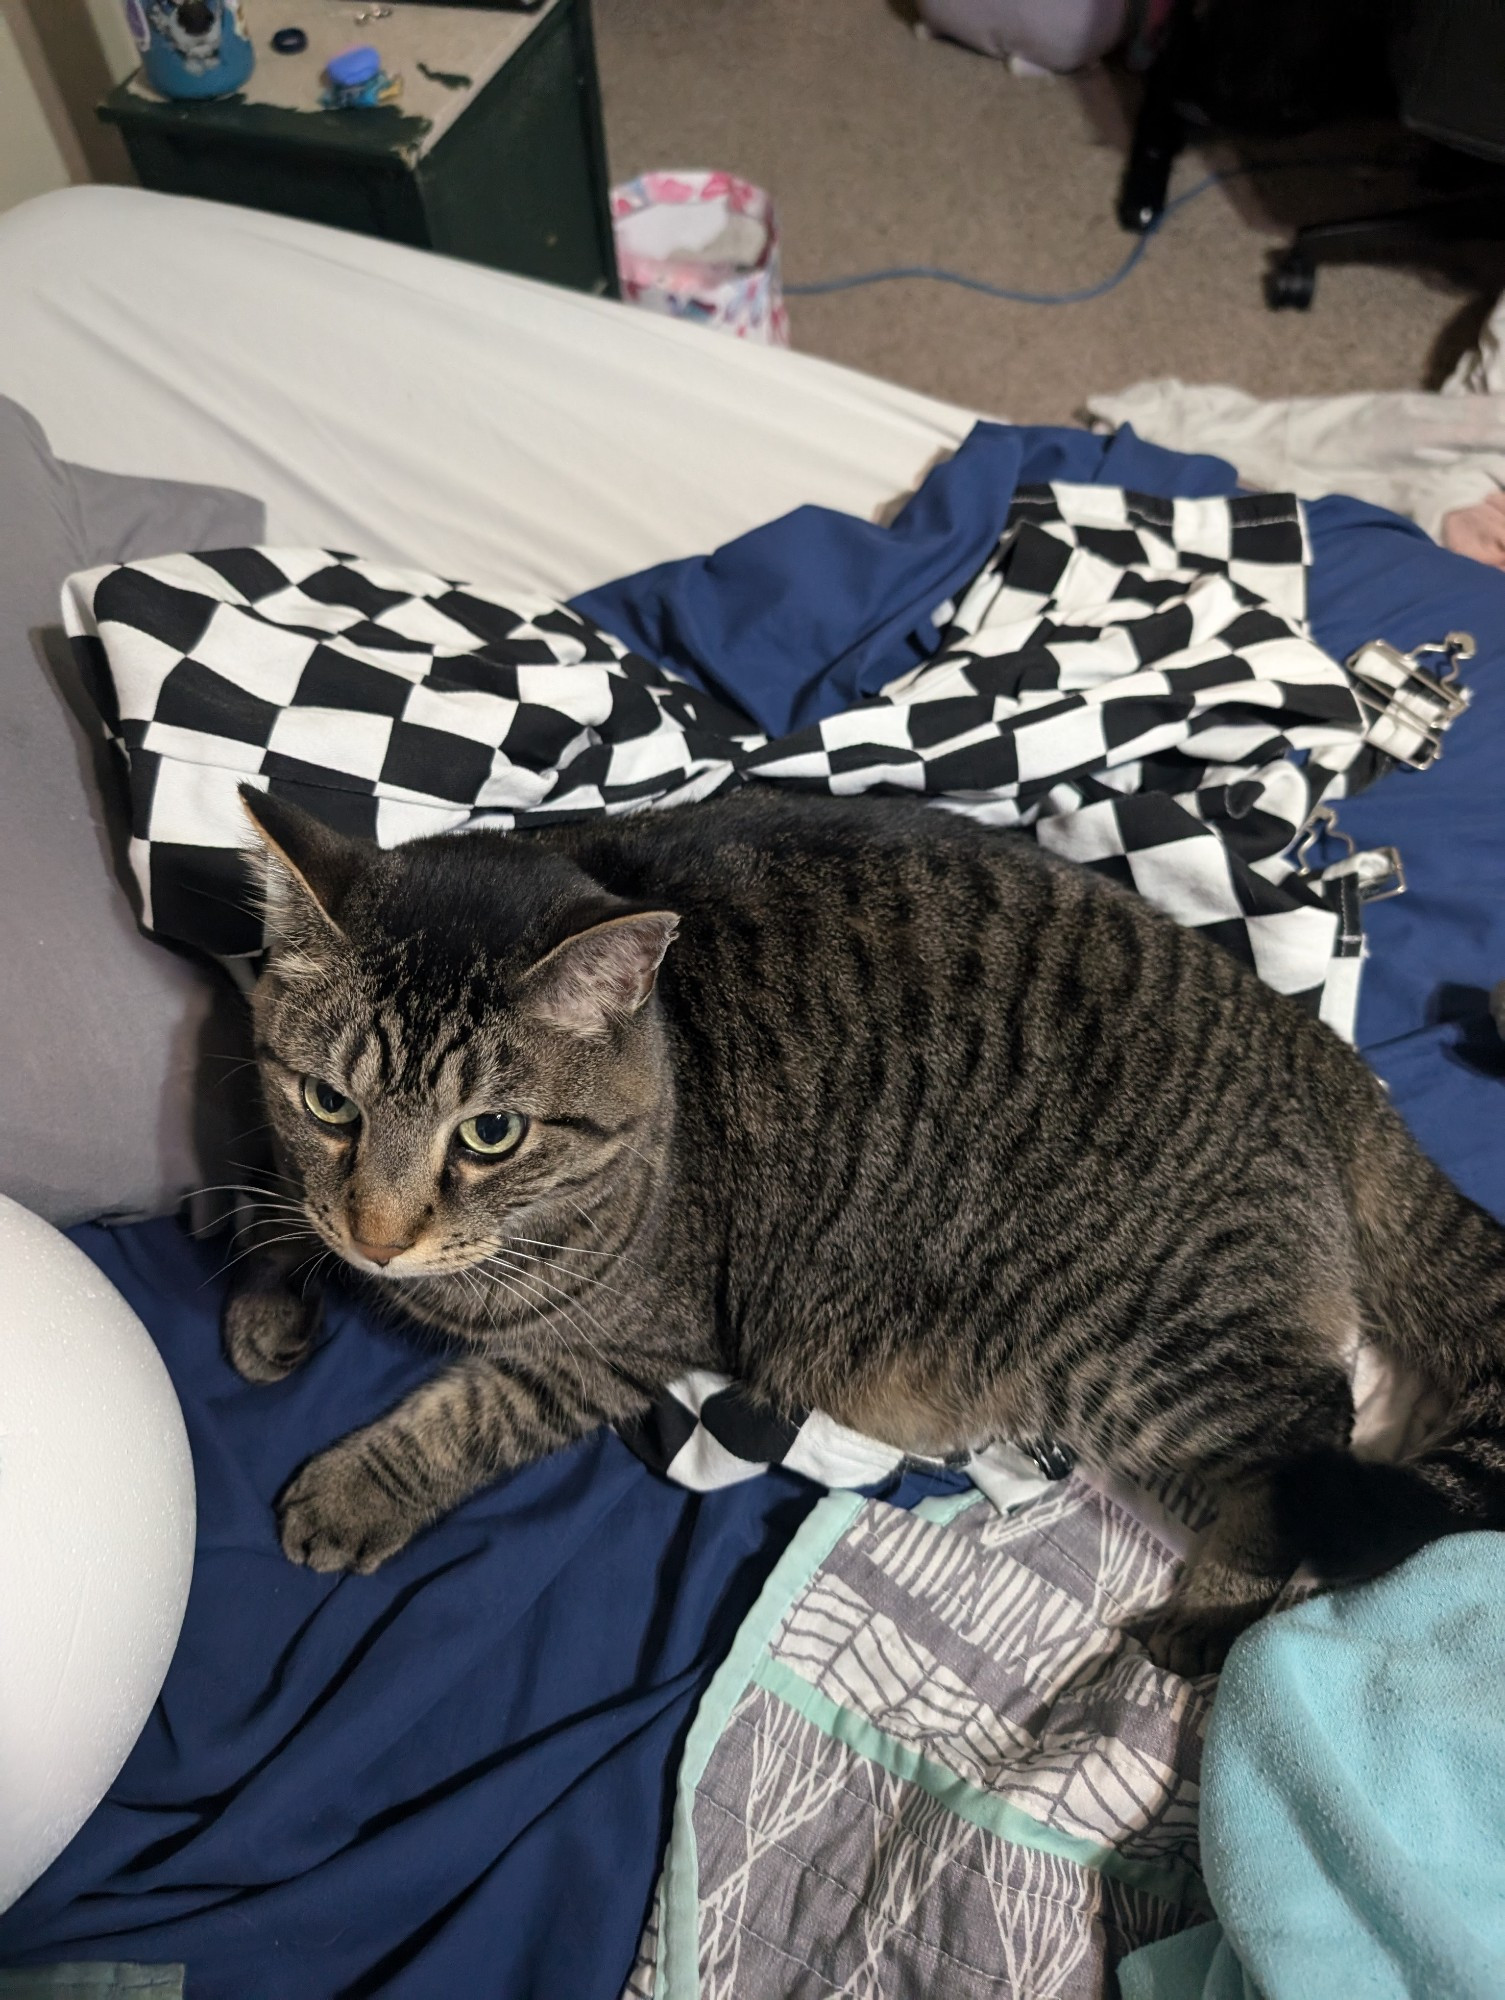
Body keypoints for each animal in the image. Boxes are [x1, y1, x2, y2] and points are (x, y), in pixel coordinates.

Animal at [226, 788, 1505, 1664]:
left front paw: (356, 1489)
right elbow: (259, 1177)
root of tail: (1305, 1033)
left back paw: (1204, 1617)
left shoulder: (626, 1335)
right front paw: (270, 1286)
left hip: (1149, 1350)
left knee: (1317, 1449)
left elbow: (471, 1412)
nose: (379, 1236)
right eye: (329, 1102)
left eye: (490, 1131)